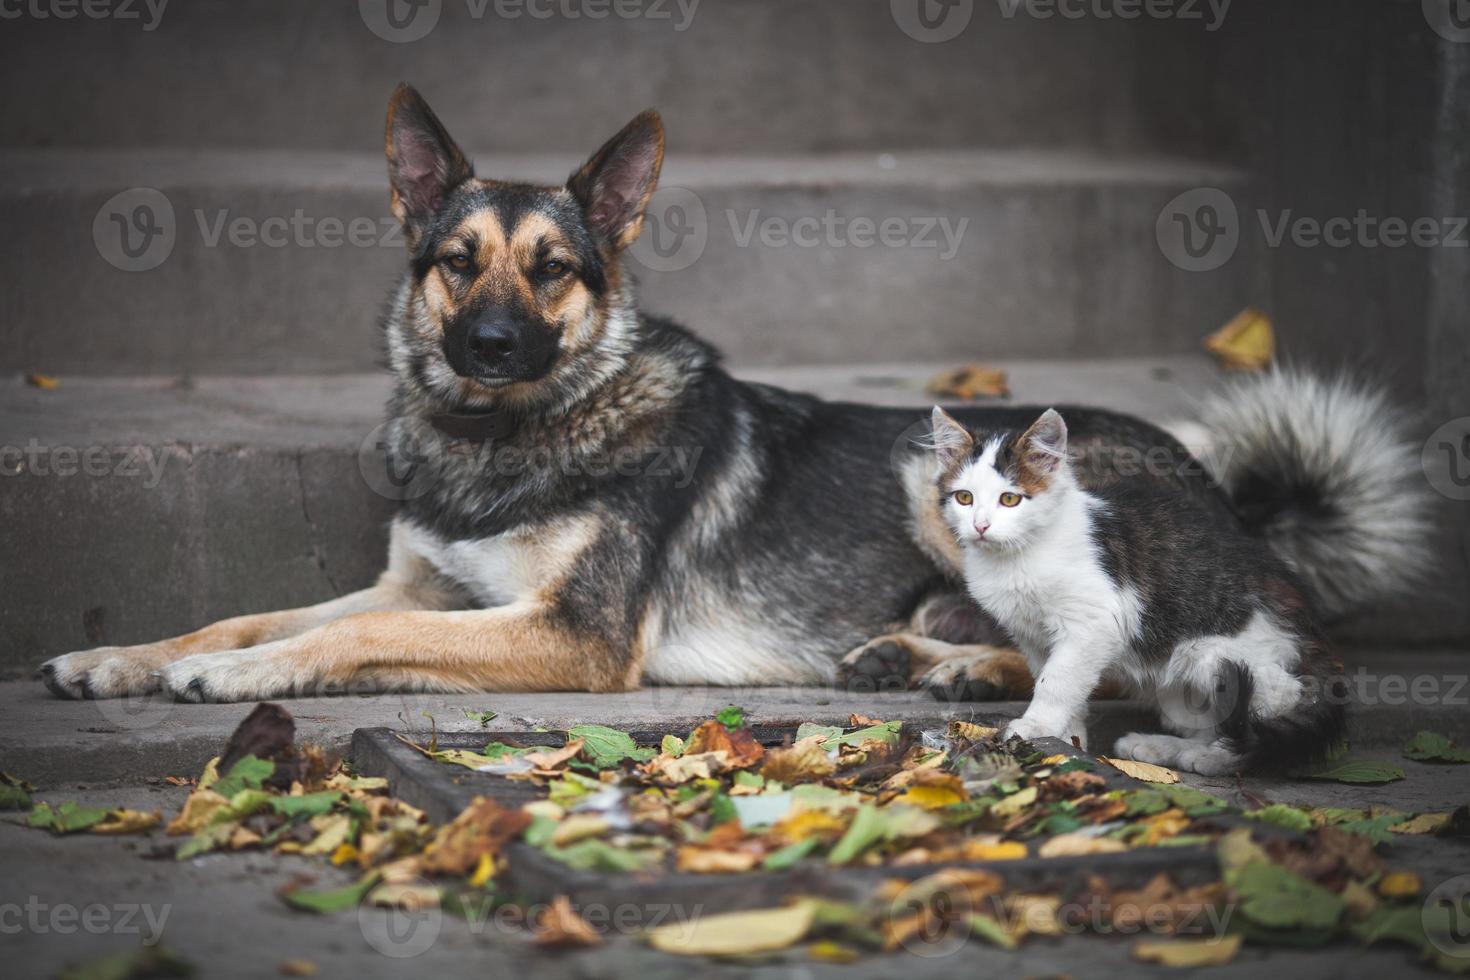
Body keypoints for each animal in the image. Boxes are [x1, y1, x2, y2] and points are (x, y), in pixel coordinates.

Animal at [42, 88, 1422, 731]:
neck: (510, 435)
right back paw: (923, 657)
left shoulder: (574, 637)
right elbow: (255, 610)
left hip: (938, 481)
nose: (488, 346)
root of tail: (1232, 505)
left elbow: (342, 637)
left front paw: (229, 677)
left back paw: (965, 670)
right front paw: (128, 654)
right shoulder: (416, 586)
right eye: (457, 261)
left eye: (555, 268)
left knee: (1130, 658)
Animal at [923, 405, 1346, 775]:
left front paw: (1036, 726)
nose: (980, 526)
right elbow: (1057, 678)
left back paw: (1218, 758)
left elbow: (1056, 680)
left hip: (1216, 654)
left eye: (1010, 499)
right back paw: (1165, 748)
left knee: (1278, 697)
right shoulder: (1033, 635)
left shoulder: (1095, 621)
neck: (1017, 555)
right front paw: (1069, 741)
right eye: (964, 498)